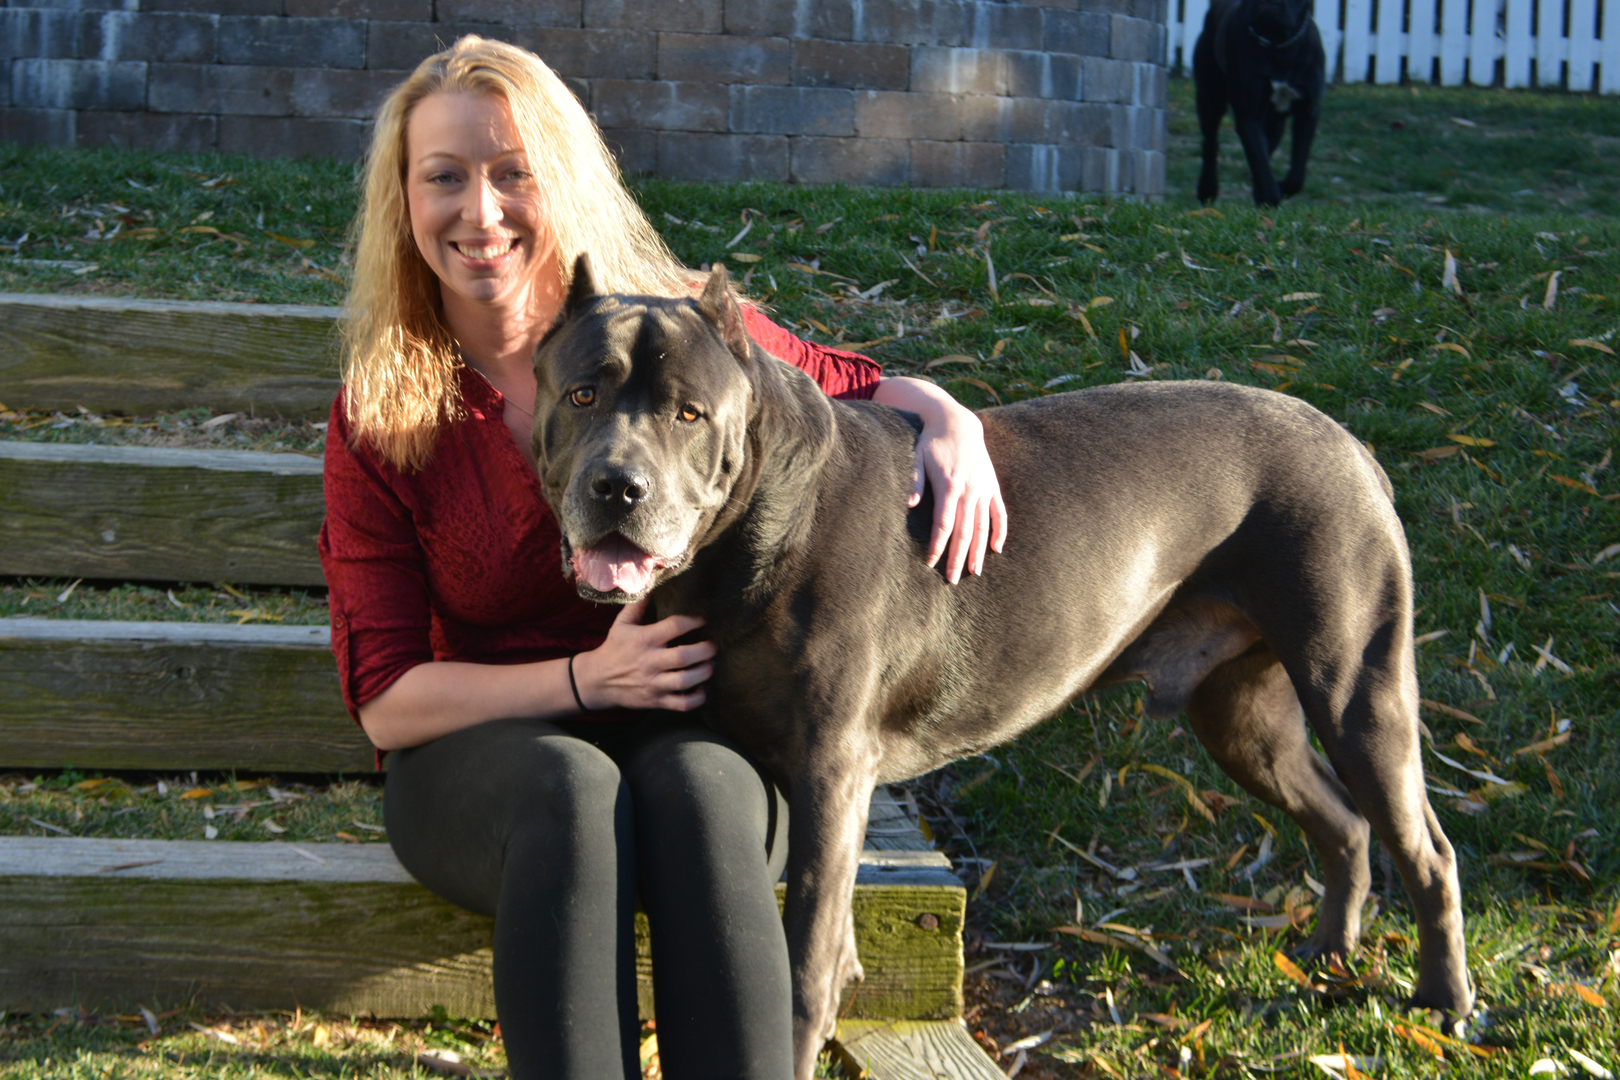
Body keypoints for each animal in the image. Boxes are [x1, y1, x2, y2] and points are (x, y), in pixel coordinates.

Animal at [534, 257, 1483, 1075]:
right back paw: (1329, 950)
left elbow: (804, 957)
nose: (618, 487)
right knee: (1344, 821)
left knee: (1428, 850)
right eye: (583, 394)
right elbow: (824, 934)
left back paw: (1443, 1002)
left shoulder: (831, 766)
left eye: (689, 414)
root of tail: (1352, 447)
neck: (754, 527)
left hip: (1356, 690)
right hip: (1245, 720)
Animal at [1198, 0, 1321, 205]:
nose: (1268, 3)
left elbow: (1296, 173)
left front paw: (1281, 189)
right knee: (1211, 143)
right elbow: (1261, 162)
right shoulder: (1249, 118)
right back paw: (1207, 189)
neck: (1278, 44)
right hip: (1210, 100)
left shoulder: (1307, 114)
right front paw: (1271, 198)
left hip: (1275, 122)